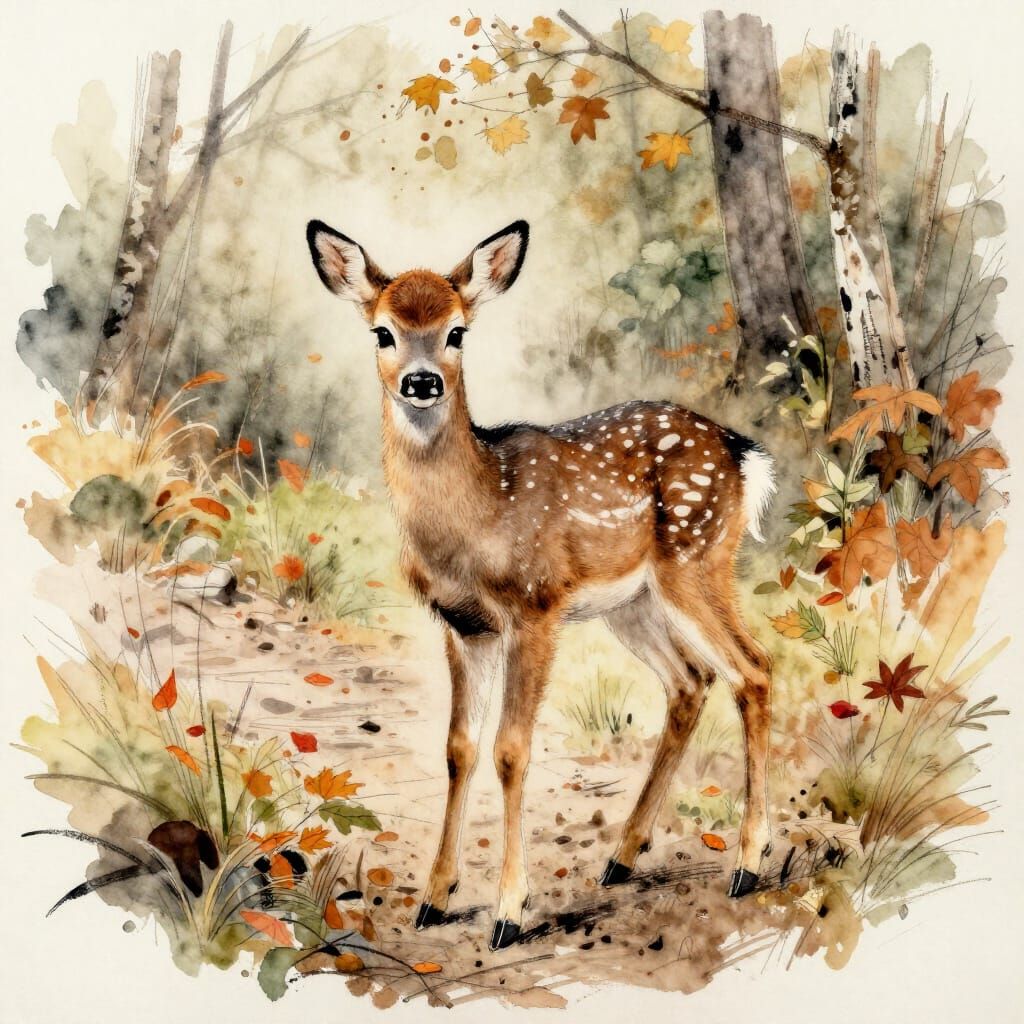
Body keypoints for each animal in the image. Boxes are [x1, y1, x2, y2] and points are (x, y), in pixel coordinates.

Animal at [306, 218, 776, 951]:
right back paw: (621, 857)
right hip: (634, 604)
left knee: (753, 670)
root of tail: (741, 453)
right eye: (382, 331)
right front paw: (434, 899)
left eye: (457, 331)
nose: (421, 382)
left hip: (697, 560)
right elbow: (459, 748)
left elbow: (511, 749)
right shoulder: (464, 623)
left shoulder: (535, 605)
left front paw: (508, 911)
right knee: (690, 682)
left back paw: (748, 865)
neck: (479, 517)